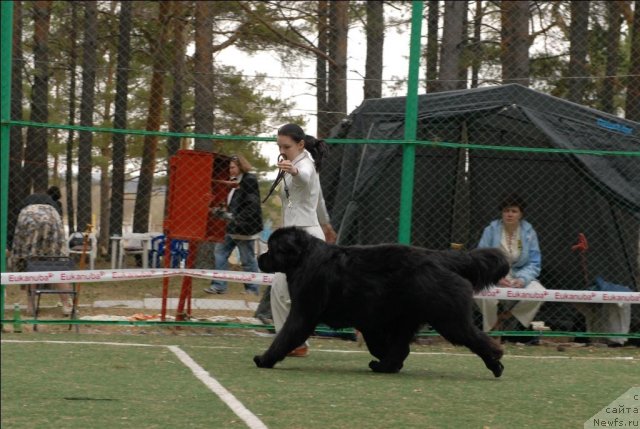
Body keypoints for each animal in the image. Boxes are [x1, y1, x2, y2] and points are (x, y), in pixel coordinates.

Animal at [255, 226, 510, 376]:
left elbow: (286, 336)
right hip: (408, 317)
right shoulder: (369, 320)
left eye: (272, 248)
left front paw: (265, 359)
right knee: (402, 345)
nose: (259, 258)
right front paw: (388, 360)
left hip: (447, 318)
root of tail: (440, 257)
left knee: (475, 337)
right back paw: (385, 366)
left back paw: (495, 362)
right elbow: (380, 345)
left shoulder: (305, 312)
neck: (302, 258)